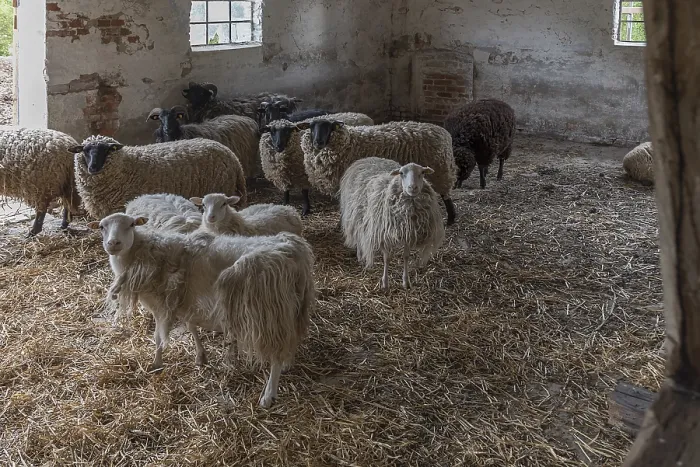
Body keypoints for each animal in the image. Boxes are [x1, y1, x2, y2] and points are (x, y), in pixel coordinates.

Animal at [89, 212, 315, 408]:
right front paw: (200, 357)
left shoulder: (161, 306)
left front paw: (157, 364)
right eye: (102, 227)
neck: (142, 252)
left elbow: (158, 337)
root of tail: (292, 249)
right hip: (292, 307)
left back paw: (268, 395)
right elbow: (191, 326)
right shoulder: (186, 298)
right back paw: (287, 363)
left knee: (275, 353)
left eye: (131, 224)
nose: (113, 243)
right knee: (292, 335)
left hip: (268, 310)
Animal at [300, 119, 458, 225]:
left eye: (329, 127)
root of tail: (445, 134)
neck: (347, 143)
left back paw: (450, 219)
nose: (318, 142)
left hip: (440, 172)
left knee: (446, 195)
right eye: (311, 127)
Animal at [339, 157, 445, 289]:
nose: (412, 187)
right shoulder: (384, 234)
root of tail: (367, 158)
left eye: (422, 173)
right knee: (358, 234)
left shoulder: (408, 233)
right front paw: (385, 283)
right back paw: (360, 256)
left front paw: (406, 281)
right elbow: (387, 258)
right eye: (401, 173)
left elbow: (406, 256)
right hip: (355, 213)